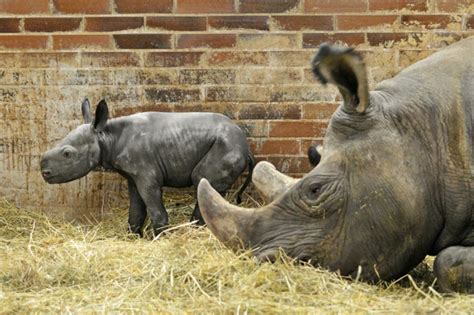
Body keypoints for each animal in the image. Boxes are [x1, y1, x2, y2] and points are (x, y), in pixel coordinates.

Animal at [41, 100, 256, 236]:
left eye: (67, 154)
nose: (44, 173)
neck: (106, 136)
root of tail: (246, 147)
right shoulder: (132, 176)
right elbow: (136, 211)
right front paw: (132, 237)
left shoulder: (146, 174)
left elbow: (155, 209)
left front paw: (159, 239)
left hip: (226, 146)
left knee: (201, 180)